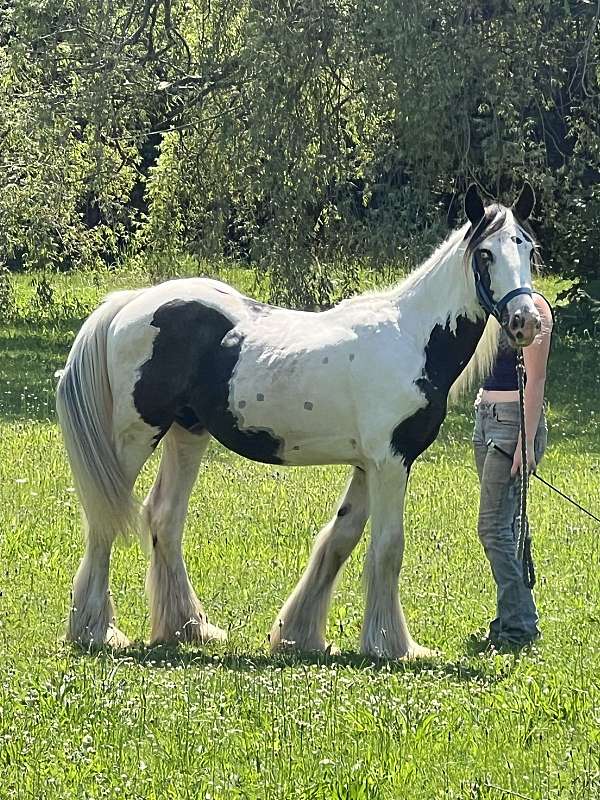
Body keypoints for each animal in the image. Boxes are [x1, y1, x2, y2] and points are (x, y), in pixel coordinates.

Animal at [56, 183, 541, 659]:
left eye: (528, 247)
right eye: (486, 253)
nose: (526, 322)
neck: (411, 338)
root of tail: (130, 303)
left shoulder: (367, 464)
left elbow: (340, 538)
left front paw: (298, 634)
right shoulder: (391, 461)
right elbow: (388, 548)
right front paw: (393, 646)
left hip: (187, 434)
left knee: (164, 518)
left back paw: (189, 628)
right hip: (136, 436)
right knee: (104, 519)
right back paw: (96, 632)